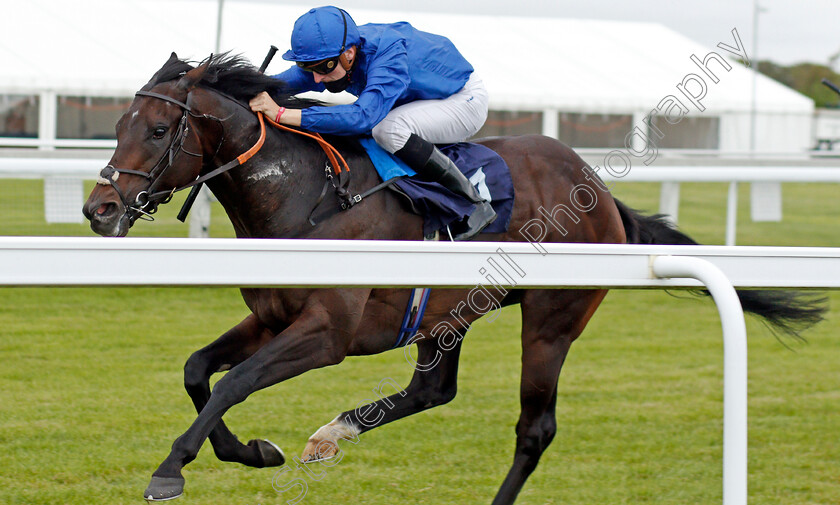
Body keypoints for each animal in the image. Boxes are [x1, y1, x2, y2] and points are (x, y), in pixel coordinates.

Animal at [82, 53, 824, 502]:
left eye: (156, 129)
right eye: (116, 123)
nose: (99, 209)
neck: (306, 198)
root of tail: (600, 191)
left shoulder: (326, 332)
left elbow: (234, 380)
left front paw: (171, 468)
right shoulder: (271, 316)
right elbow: (198, 370)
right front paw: (253, 450)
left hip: (551, 321)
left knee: (534, 428)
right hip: (450, 310)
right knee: (433, 389)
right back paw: (333, 433)